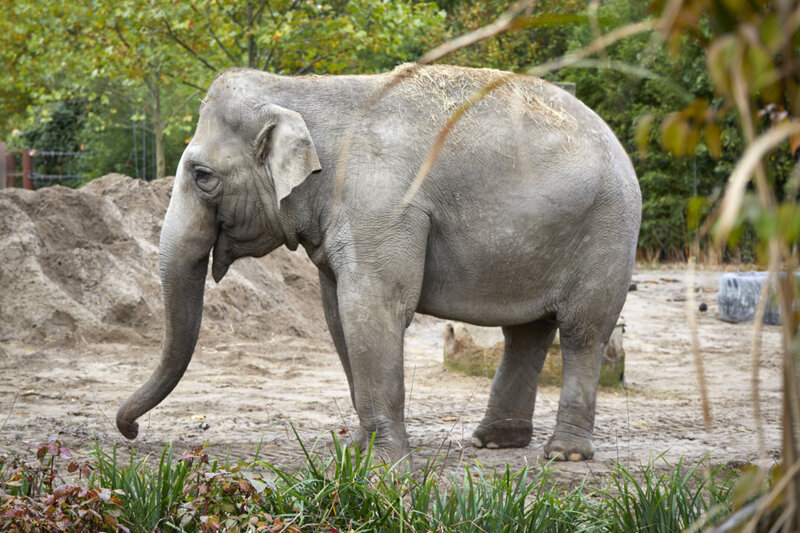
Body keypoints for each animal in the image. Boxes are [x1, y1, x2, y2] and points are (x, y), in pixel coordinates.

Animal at [116, 64, 641, 463]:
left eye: (202, 176)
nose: (132, 433)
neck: (302, 90)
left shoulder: (385, 205)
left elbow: (372, 307)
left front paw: (385, 463)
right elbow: (337, 314)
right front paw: (358, 451)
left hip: (609, 234)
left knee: (583, 331)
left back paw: (565, 454)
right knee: (527, 333)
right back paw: (492, 442)